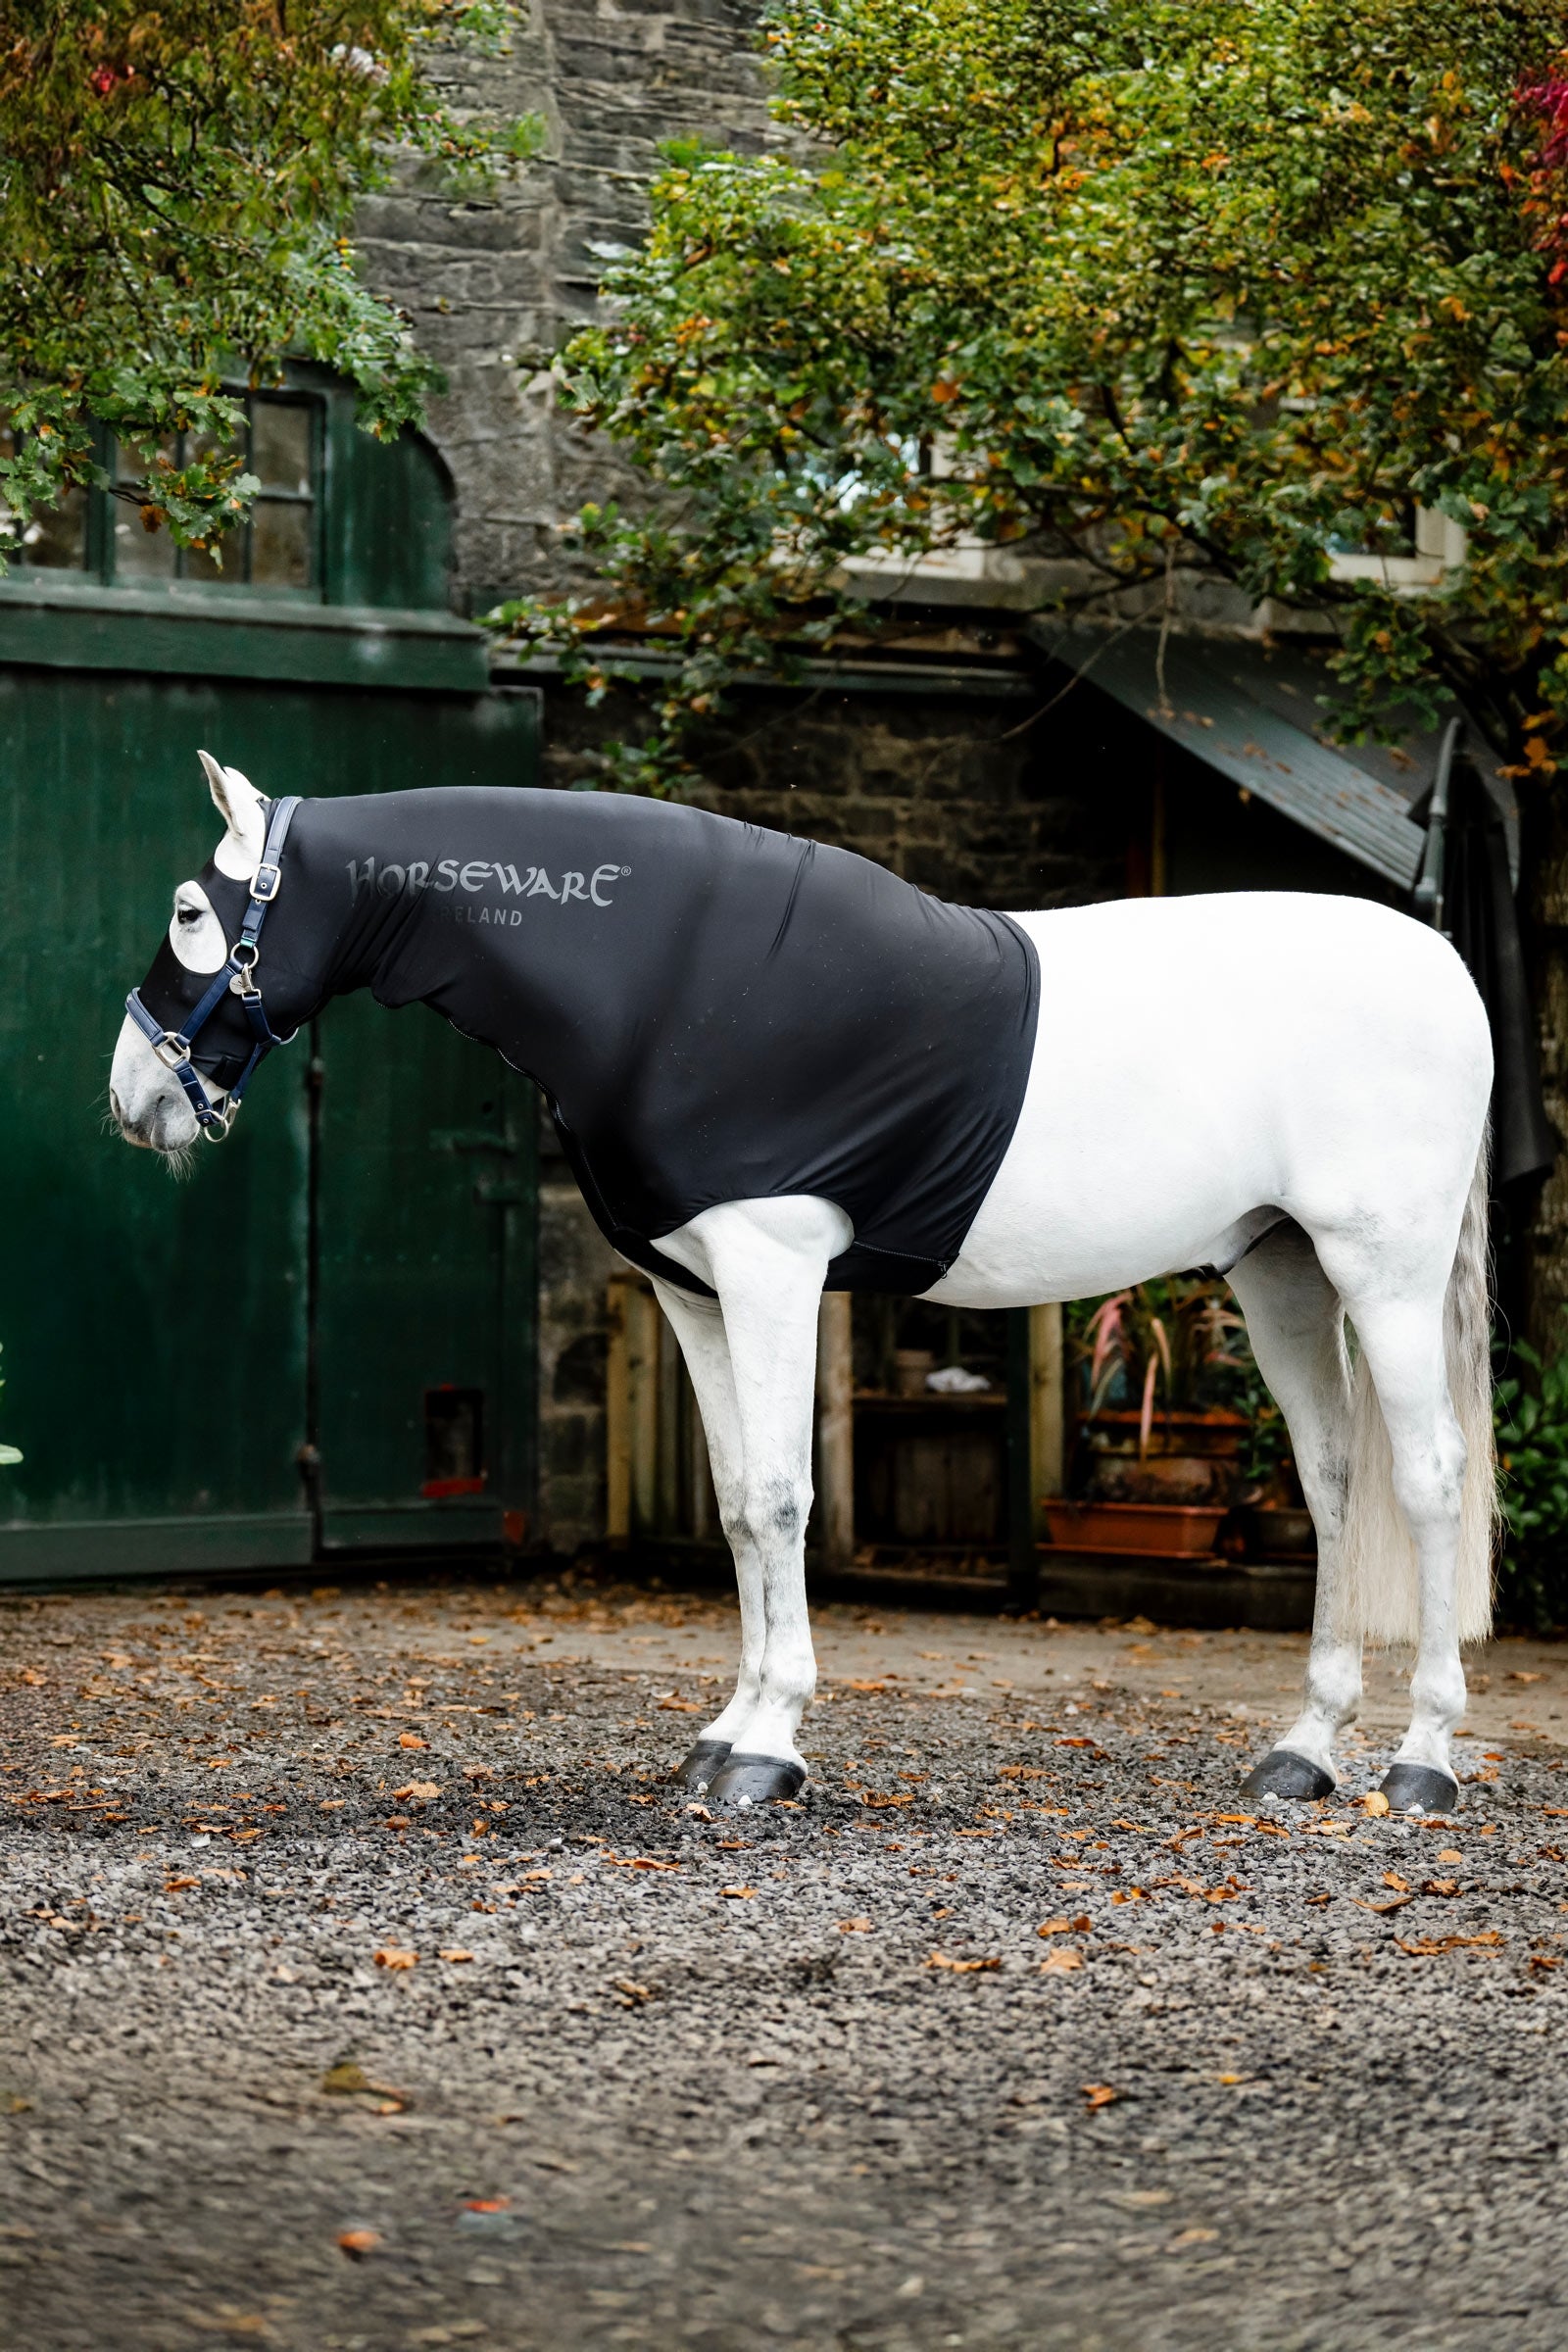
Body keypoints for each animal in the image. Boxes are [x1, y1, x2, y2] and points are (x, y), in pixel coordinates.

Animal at [110, 752, 1496, 1816]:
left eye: (187, 910)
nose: (132, 1100)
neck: (661, 971)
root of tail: (1445, 963)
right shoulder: (694, 1292)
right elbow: (735, 1507)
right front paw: (726, 1732)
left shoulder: (771, 1266)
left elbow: (783, 1500)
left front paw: (769, 1748)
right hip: (1280, 1270)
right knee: (1333, 1482)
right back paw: (1304, 1753)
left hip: (1381, 1269)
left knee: (1427, 1482)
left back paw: (1421, 1764)